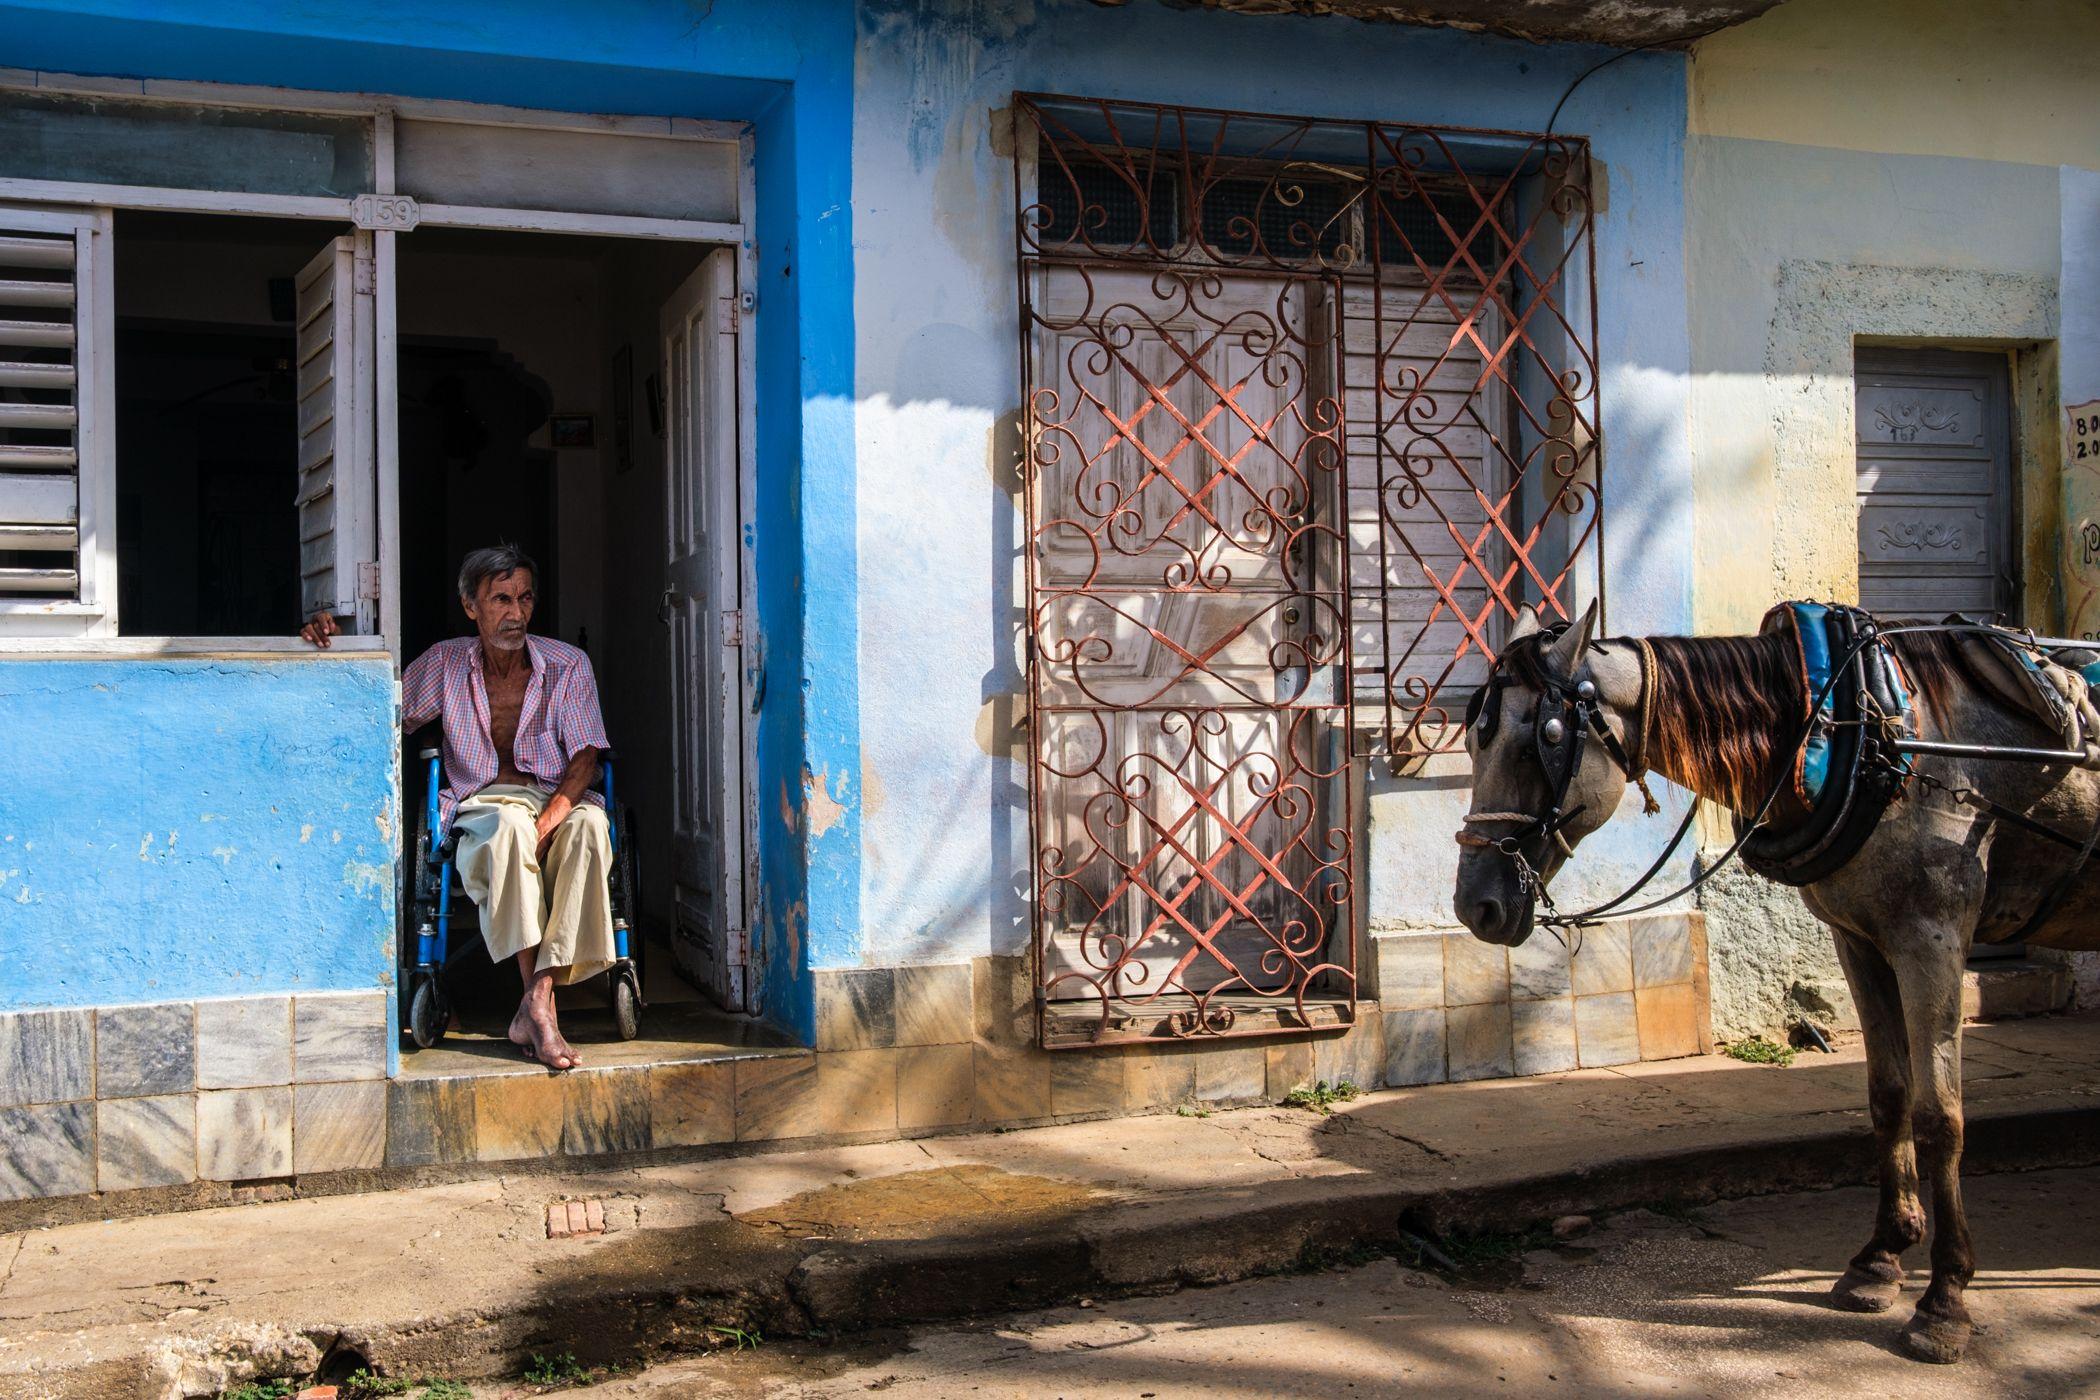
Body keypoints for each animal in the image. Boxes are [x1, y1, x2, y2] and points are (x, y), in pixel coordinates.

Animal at [1453, 596, 2100, 1360]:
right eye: (1475, 742)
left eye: (1540, 742)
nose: (1476, 906)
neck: (1860, 727)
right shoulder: (1860, 940)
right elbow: (1888, 1095)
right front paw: (1880, 1261)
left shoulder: (1932, 937)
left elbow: (1940, 1115)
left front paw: (1944, 1299)